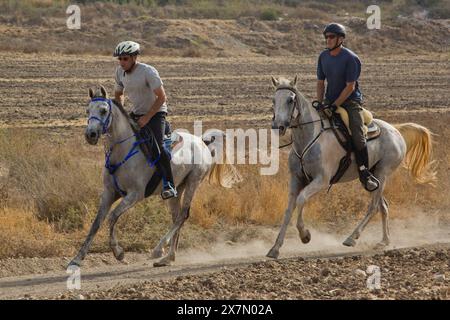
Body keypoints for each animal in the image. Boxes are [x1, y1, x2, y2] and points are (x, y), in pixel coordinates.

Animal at [68, 86, 241, 266]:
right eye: (87, 110)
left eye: (103, 110)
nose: (90, 134)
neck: (122, 153)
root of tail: (203, 142)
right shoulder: (109, 193)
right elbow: (96, 223)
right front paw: (77, 258)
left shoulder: (134, 194)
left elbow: (112, 217)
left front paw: (118, 252)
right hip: (177, 189)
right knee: (176, 217)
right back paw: (168, 257)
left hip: (193, 182)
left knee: (183, 215)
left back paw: (158, 249)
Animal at [268, 76, 436, 258]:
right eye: (273, 100)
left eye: (290, 100)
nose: (278, 126)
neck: (308, 138)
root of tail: (395, 130)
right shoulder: (296, 179)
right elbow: (288, 209)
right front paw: (275, 248)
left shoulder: (321, 180)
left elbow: (301, 199)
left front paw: (305, 235)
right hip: (373, 178)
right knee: (383, 206)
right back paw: (384, 241)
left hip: (383, 172)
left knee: (373, 207)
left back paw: (352, 238)